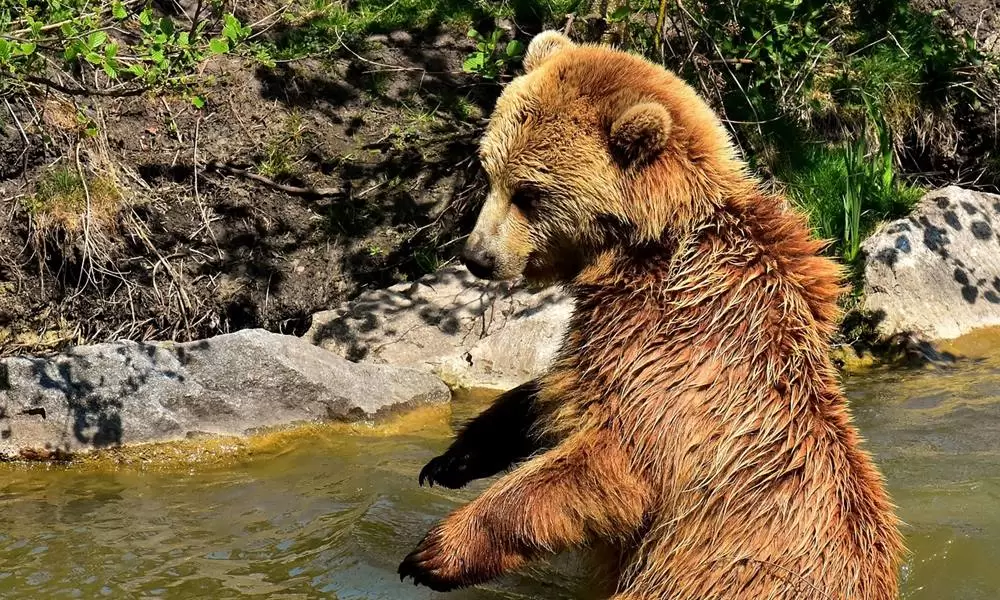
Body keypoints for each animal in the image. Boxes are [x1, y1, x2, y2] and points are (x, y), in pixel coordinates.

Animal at [398, 30, 908, 596]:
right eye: (489, 170)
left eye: (530, 193)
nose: (478, 257)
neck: (645, 249)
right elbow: (548, 396)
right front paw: (452, 458)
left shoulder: (676, 359)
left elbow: (607, 466)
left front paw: (434, 552)